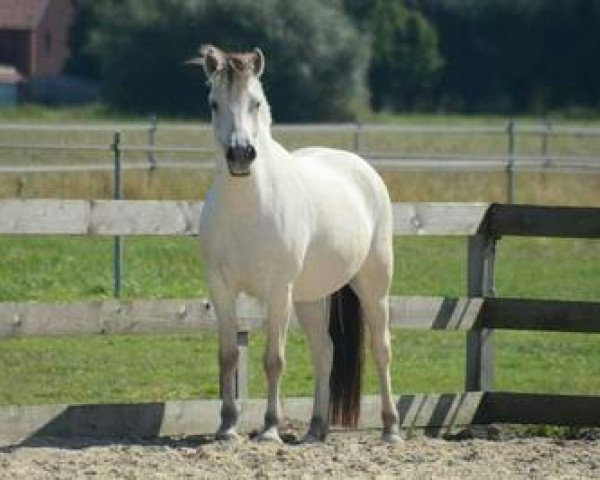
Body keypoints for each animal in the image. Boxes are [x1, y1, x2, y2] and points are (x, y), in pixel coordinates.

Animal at [189, 45, 398, 442]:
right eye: (212, 103)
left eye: (255, 102)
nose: (241, 154)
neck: (246, 209)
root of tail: (362, 168)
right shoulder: (221, 289)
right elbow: (228, 356)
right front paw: (227, 426)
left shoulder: (277, 292)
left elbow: (274, 360)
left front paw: (270, 429)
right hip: (311, 298)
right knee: (324, 352)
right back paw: (316, 428)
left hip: (372, 285)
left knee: (381, 349)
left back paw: (391, 428)